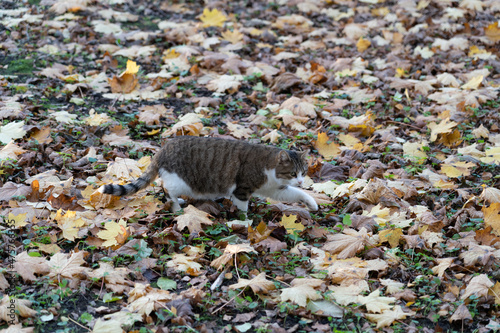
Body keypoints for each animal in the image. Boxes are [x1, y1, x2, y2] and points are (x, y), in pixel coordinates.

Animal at [97, 135, 316, 213]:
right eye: (293, 173)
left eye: (303, 172)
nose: (301, 181)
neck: (268, 167)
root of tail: (162, 149)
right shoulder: (242, 189)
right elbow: (242, 209)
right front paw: (244, 222)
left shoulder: (275, 189)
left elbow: (296, 194)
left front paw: (312, 203)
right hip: (180, 180)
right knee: (166, 189)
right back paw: (176, 207)